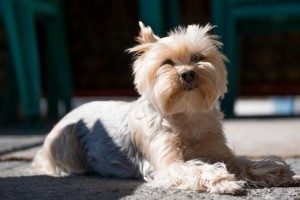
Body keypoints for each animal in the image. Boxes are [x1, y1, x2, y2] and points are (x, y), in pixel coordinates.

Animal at [31, 21, 298, 194]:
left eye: (198, 57)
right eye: (167, 63)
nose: (187, 73)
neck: (186, 114)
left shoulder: (220, 152)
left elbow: (244, 163)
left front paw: (279, 172)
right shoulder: (167, 163)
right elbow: (195, 169)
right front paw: (223, 180)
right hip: (66, 148)